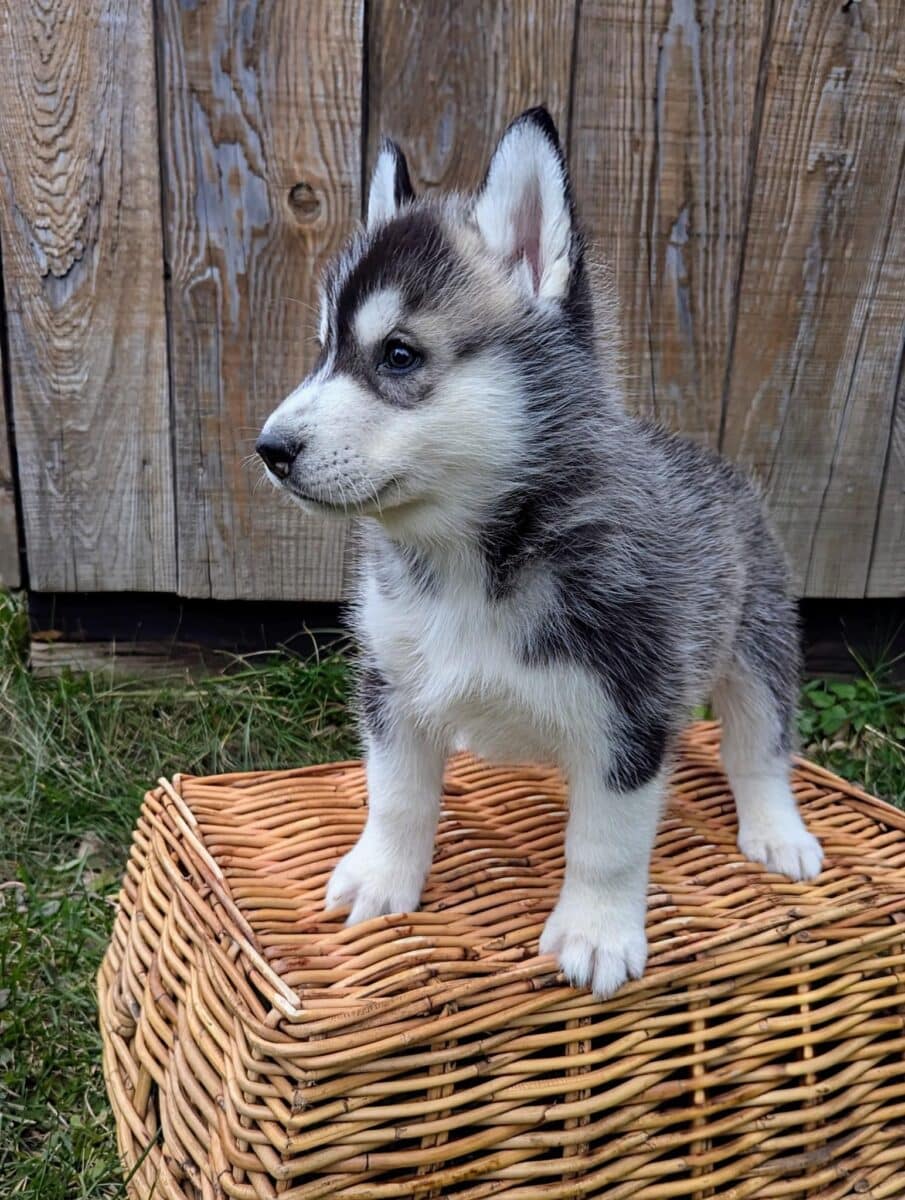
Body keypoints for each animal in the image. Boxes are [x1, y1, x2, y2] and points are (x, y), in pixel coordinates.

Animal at [256, 108, 820, 998]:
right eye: (322, 350)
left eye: (398, 355)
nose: (270, 449)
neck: (466, 564)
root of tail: (711, 459)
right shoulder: (391, 687)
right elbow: (396, 798)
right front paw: (381, 880)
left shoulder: (630, 713)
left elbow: (607, 841)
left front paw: (594, 933)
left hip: (757, 642)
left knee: (758, 745)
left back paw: (776, 832)